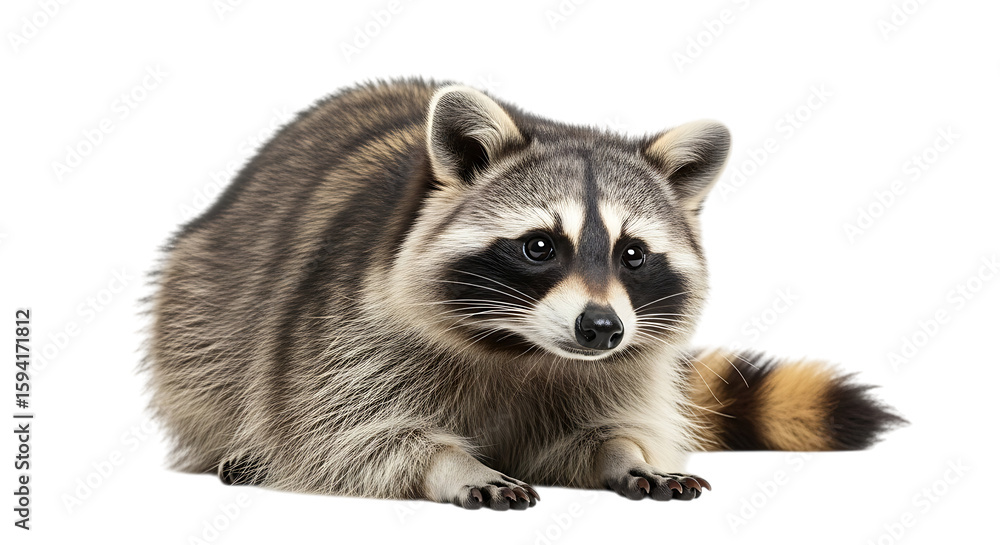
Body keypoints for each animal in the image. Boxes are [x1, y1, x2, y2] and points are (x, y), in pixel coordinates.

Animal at [146, 79, 903, 510]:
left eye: (633, 254)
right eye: (540, 246)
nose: (601, 329)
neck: (526, 349)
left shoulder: (624, 367)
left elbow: (595, 431)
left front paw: (628, 454)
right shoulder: (341, 337)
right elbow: (348, 436)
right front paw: (449, 462)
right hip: (198, 304)